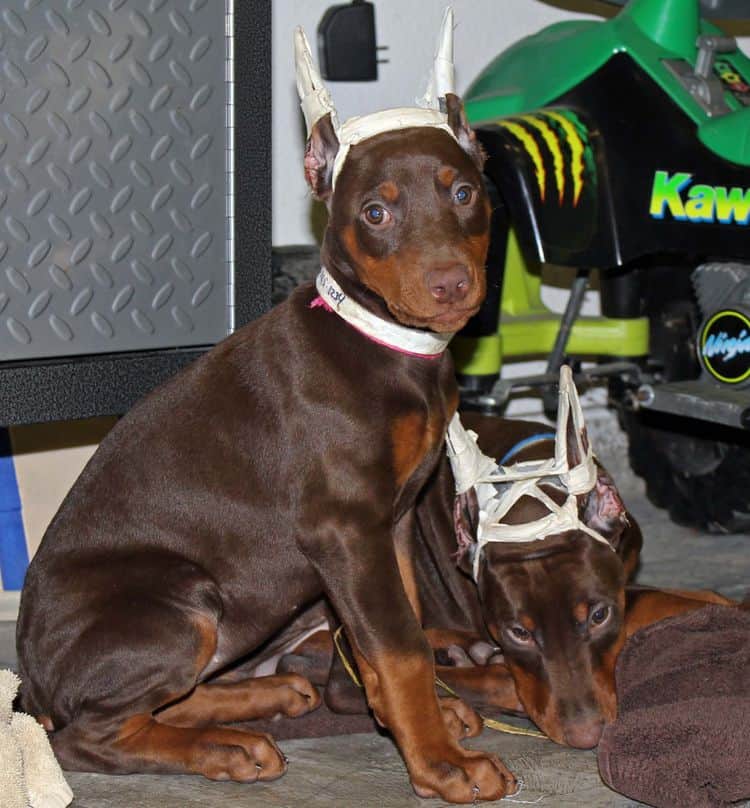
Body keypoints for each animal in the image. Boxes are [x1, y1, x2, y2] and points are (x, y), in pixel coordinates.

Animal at [14, 9, 520, 804]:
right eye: (376, 211)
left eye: (464, 193)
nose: (450, 286)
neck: (381, 342)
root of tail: (30, 683)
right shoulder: (346, 528)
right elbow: (400, 646)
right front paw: (441, 763)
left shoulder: (390, 524)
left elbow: (397, 629)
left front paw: (428, 717)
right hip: (185, 600)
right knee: (88, 735)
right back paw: (225, 748)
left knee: (163, 701)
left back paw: (260, 699)